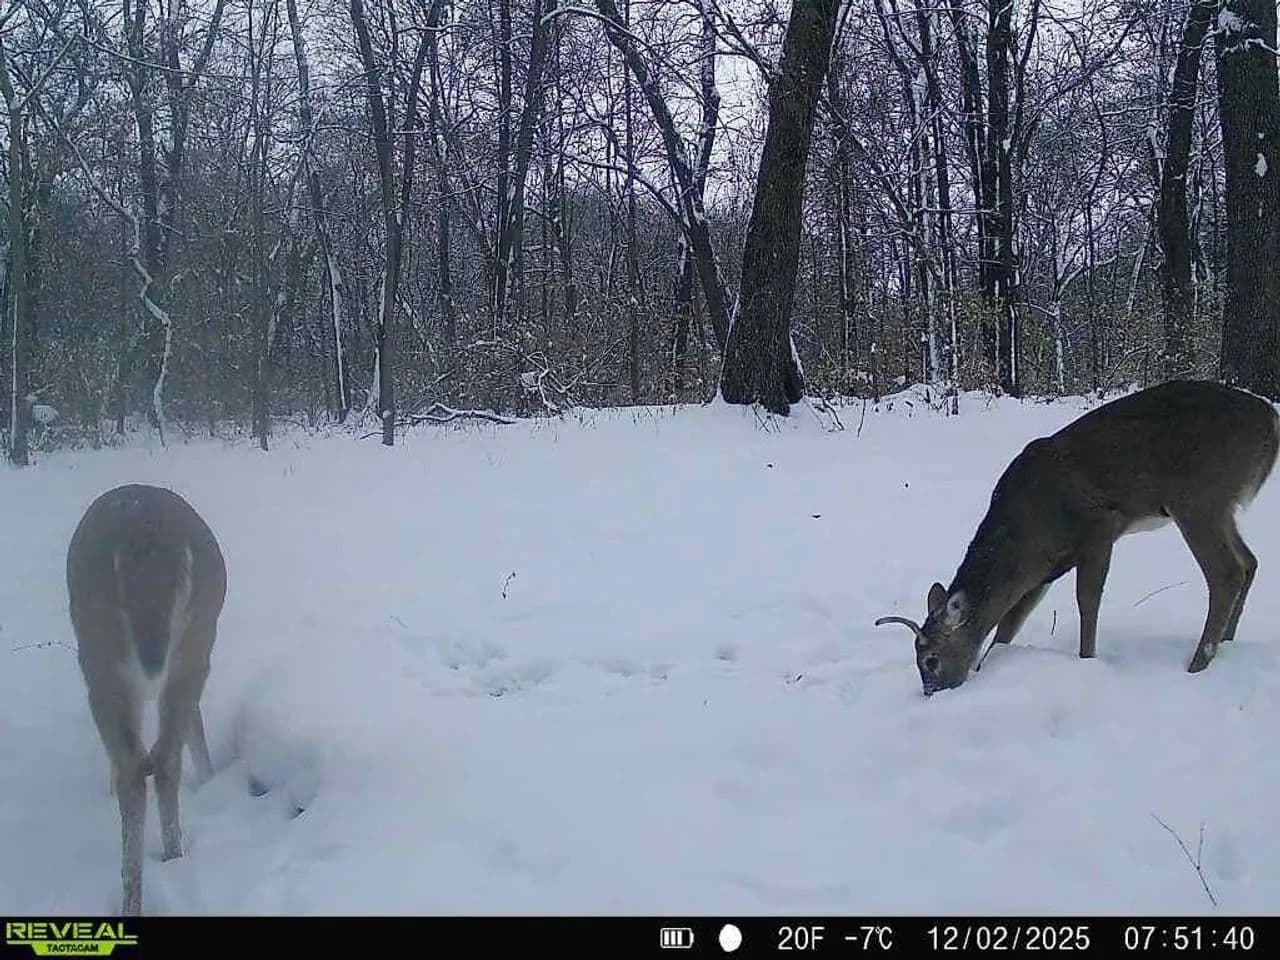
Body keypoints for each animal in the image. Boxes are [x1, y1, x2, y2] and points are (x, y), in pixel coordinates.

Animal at [66, 484, 227, 915]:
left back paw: (135, 897)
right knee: (162, 755)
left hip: (98, 653)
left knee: (135, 764)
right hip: (197, 637)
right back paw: (172, 860)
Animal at [875, 380, 1279, 697]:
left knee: (1226, 571)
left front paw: (1087, 659)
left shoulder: (1099, 527)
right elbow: (1010, 623)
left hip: (1198, 497)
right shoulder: (1042, 570)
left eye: (931, 659)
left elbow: (1087, 601)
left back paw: (1197, 665)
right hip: (1220, 506)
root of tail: (1271, 420)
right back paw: (1226, 643)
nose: (931, 693)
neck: (1028, 528)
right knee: (1249, 561)